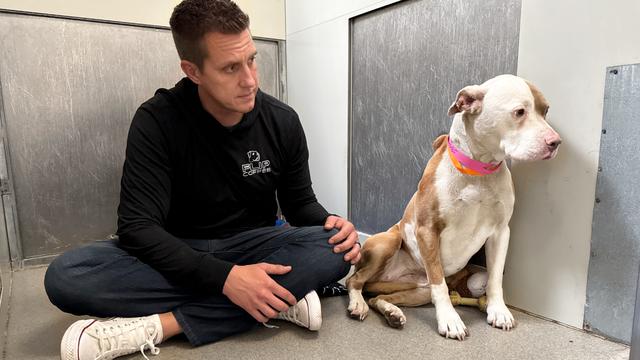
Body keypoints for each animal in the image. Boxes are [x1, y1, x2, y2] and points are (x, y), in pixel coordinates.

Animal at [344, 74, 560, 338]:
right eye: (519, 112)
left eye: (545, 111)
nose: (555, 142)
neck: (479, 172)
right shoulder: (427, 230)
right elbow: (440, 284)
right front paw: (449, 319)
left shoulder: (500, 232)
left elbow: (495, 277)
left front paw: (498, 310)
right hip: (389, 241)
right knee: (355, 281)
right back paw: (358, 303)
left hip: (418, 290)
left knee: (379, 297)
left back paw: (392, 313)